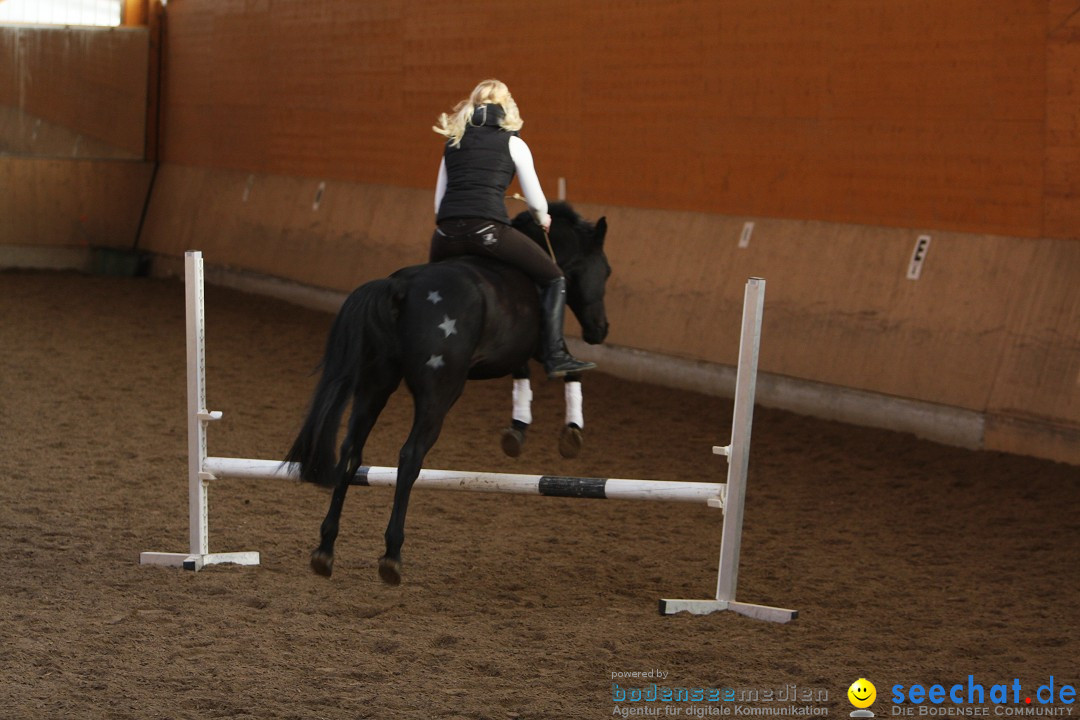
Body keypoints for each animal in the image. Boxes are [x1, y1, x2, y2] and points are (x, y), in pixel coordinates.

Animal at [285, 202, 609, 587]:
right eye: (605, 271)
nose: (600, 330)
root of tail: (399, 285)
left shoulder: (512, 352)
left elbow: (523, 375)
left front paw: (516, 431)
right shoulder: (539, 347)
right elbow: (570, 368)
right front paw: (570, 433)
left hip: (375, 386)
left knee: (351, 451)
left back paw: (325, 549)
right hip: (440, 393)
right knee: (410, 456)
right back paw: (392, 555)